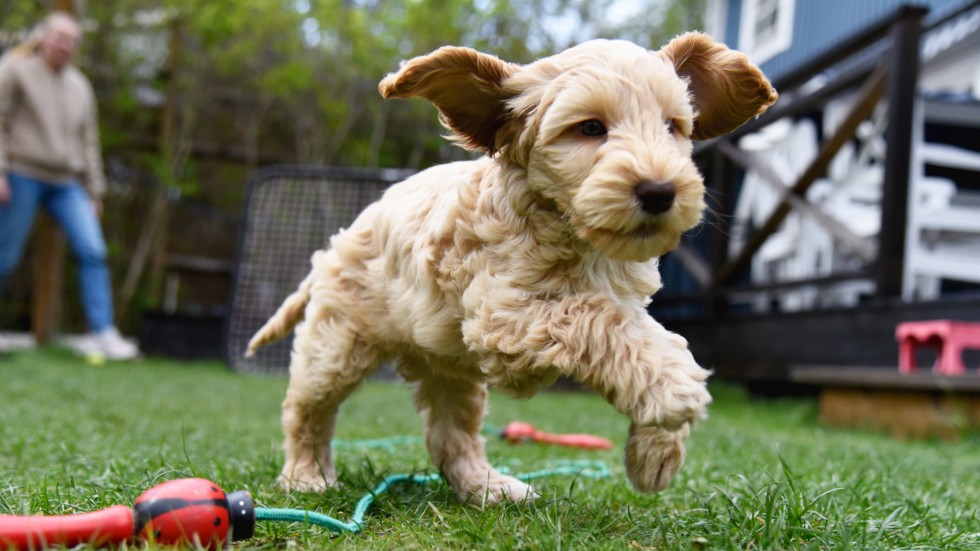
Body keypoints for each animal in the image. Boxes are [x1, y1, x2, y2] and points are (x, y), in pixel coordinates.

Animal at [249, 33, 776, 504]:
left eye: (672, 126)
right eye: (590, 128)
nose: (660, 192)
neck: (573, 235)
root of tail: (337, 243)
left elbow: (645, 331)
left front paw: (655, 453)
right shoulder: (507, 318)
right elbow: (595, 316)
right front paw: (671, 386)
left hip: (446, 366)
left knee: (450, 434)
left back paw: (488, 488)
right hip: (338, 343)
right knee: (305, 408)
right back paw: (307, 476)